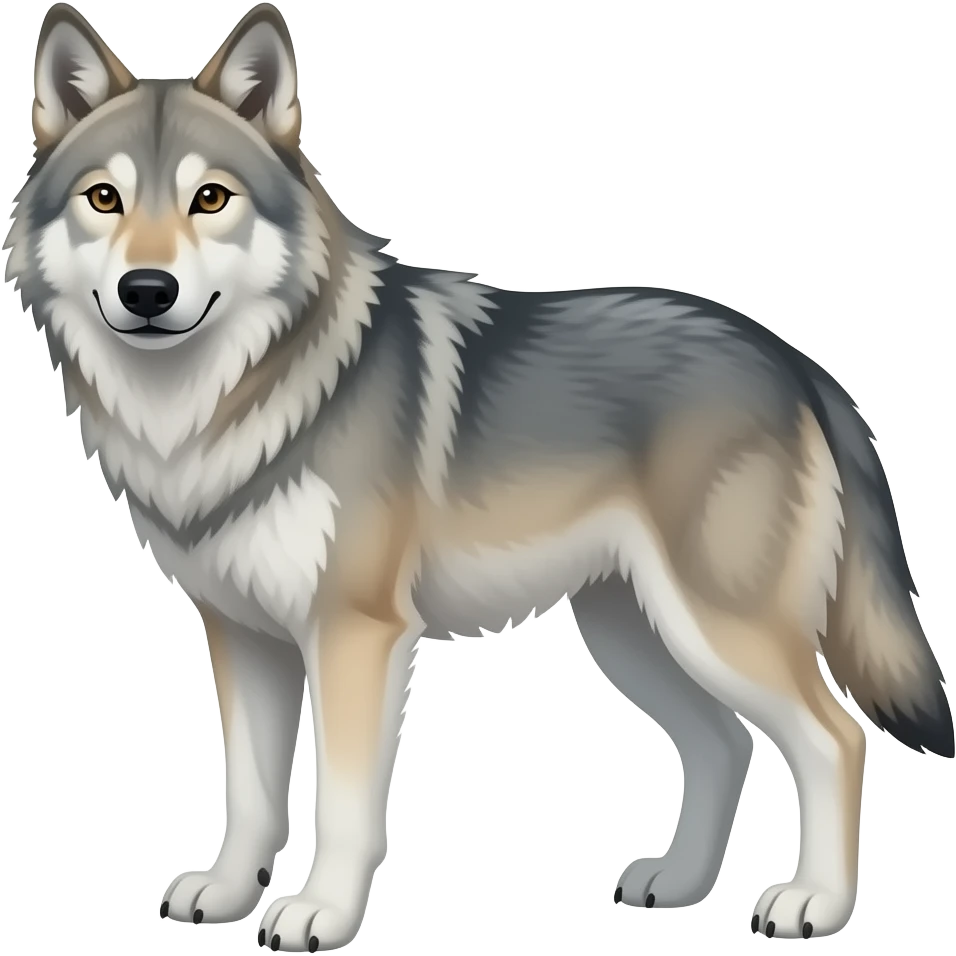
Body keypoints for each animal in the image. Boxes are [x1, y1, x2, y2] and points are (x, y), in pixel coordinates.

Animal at [4, 2, 952, 951]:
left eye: (210, 198)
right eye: (103, 198)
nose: (148, 289)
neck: (219, 404)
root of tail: (793, 359)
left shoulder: (355, 634)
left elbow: (343, 803)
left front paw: (321, 912)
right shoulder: (244, 636)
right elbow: (252, 795)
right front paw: (230, 894)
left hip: (716, 628)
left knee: (834, 739)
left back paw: (814, 902)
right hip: (633, 634)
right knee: (726, 743)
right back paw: (679, 883)